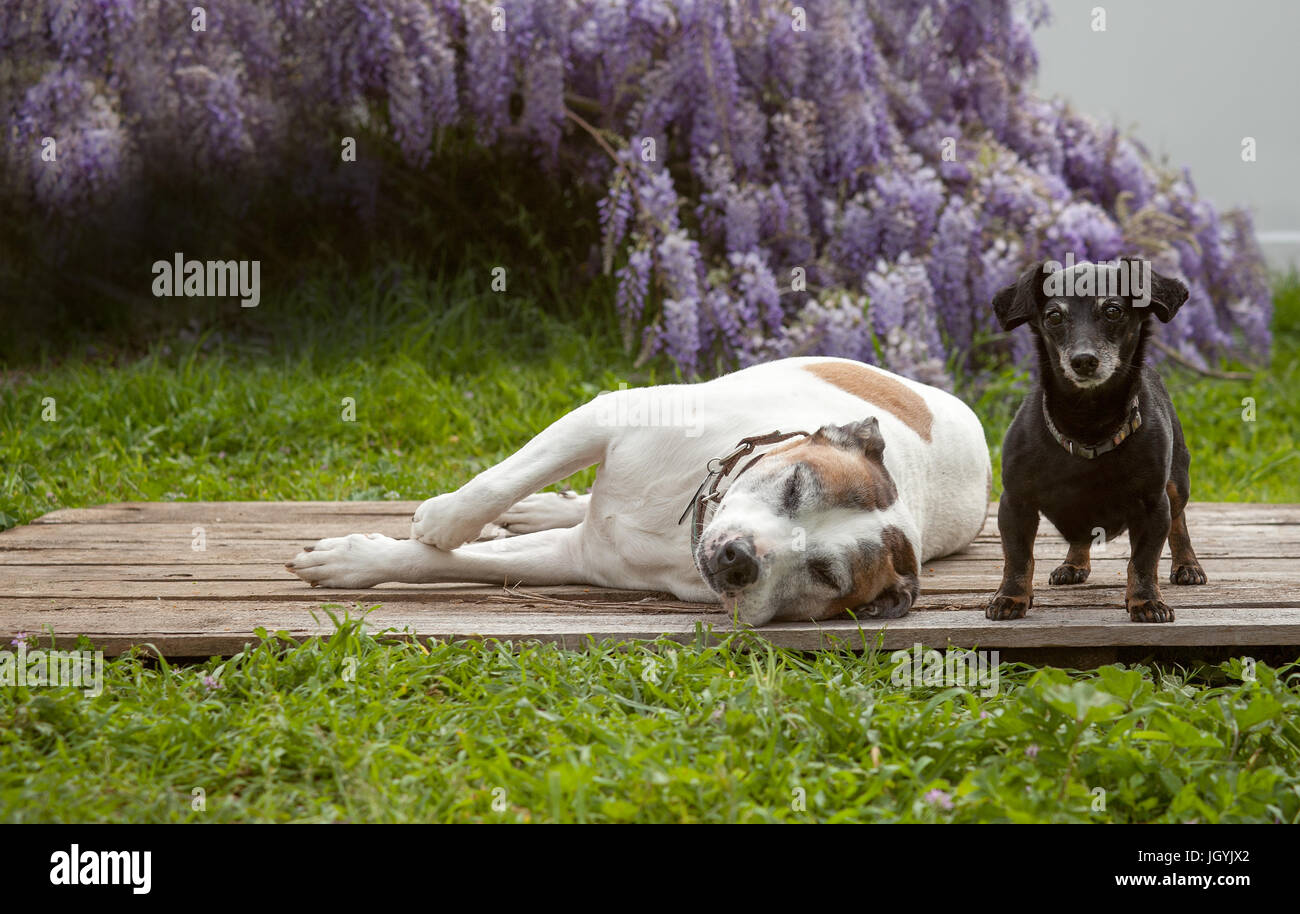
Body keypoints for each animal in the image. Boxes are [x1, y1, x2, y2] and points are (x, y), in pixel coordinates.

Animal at [289, 358, 987, 629]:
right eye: (795, 485)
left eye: (824, 575)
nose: (739, 558)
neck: (689, 521)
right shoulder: (609, 415)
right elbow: (503, 478)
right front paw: (445, 519)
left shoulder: (579, 560)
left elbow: (452, 563)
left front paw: (357, 560)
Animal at [982, 261, 1206, 626]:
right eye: (1053, 317)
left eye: (1113, 310)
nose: (1083, 360)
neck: (1088, 421)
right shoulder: (1015, 503)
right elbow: (1017, 557)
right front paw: (1010, 596)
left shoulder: (1153, 505)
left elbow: (1143, 561)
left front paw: (1146, 600)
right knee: (1080, 536)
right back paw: (1073, 564)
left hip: (1177, 483)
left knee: (1179, 521)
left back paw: (1188, 565)